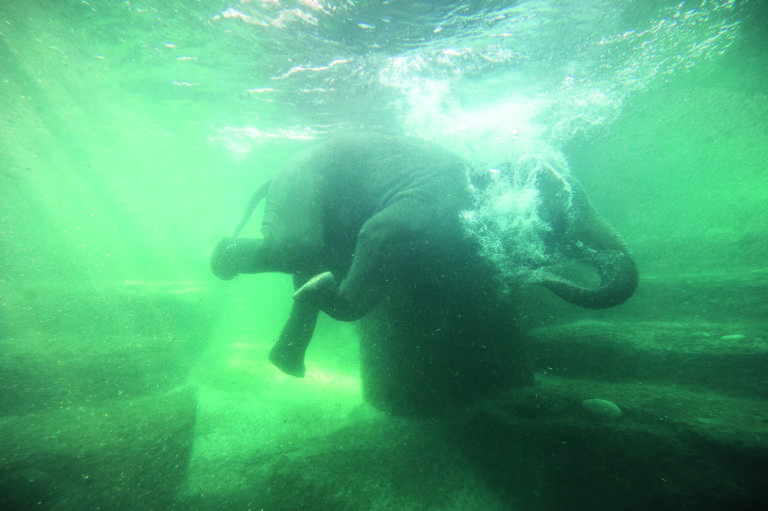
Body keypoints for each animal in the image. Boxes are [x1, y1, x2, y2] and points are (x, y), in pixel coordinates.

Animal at [210, 131, 636, 392]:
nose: (536, 273)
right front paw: (325, 286)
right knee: (297, 248)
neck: (485, 172)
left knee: (309, 260)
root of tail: (271, 178)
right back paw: (222, 260)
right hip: (300, 185)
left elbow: (379, 284)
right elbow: (378, 229)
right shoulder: (434, 204)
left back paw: (287, 354)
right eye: (566, 212)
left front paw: (325, 286)